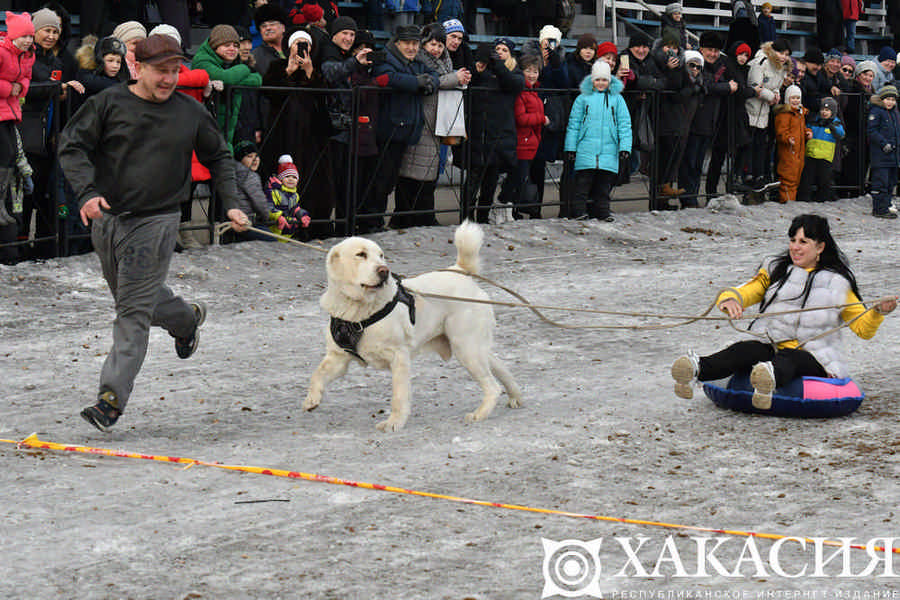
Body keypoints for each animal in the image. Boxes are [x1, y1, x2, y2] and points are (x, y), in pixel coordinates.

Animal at [306, 221, 524, 432]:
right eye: (361, 254)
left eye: (381, 255)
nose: (384, 271)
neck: (359, 310)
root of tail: (461, 272)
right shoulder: (338, 358)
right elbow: (317, 374)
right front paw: (312, 400)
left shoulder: (398, 357)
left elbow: (399, 396)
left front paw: (394, 423)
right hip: (473, 347)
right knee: (501, 368)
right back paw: (515, 396)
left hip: (466, 348)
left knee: (492, 386)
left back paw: (480, 414)